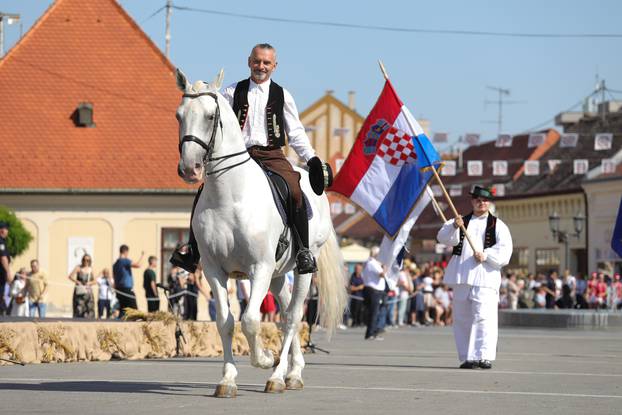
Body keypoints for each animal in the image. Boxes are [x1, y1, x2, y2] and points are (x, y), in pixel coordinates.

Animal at [176, 70, 348, 398]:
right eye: (179, 115)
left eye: (209, 116)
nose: (189, 168)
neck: (230, 196)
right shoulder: (214, 270)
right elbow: (226, 322)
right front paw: (228, 379)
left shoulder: (260, 268)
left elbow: (252, 320)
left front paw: (266, 359)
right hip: (280, 275)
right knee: (285, 314)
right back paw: (294, 371)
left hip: (303, 269)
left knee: (292, 318)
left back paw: (279, 376)